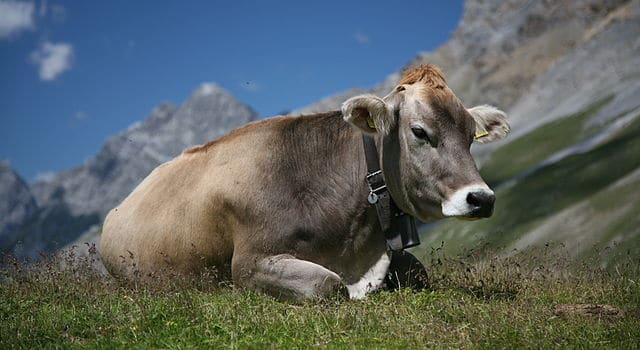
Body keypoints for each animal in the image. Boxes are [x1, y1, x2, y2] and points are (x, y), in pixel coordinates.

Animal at [101, 65, 510, 300]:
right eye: (420, 132)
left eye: (470, 137)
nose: (482, 198)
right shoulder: (249, 264)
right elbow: (328, 285)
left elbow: (419, 271)